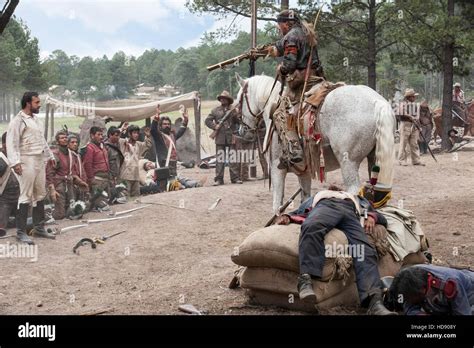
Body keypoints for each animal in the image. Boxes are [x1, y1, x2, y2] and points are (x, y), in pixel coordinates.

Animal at [236, 73, 396, 212]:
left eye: (239, 102)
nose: (242, 130)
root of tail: (377, 102)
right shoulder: (303, 173)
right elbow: (305, 197)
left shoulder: (277, 169)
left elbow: (277, 206)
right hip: (374, 160)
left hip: (348, 162)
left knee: (354, 191)